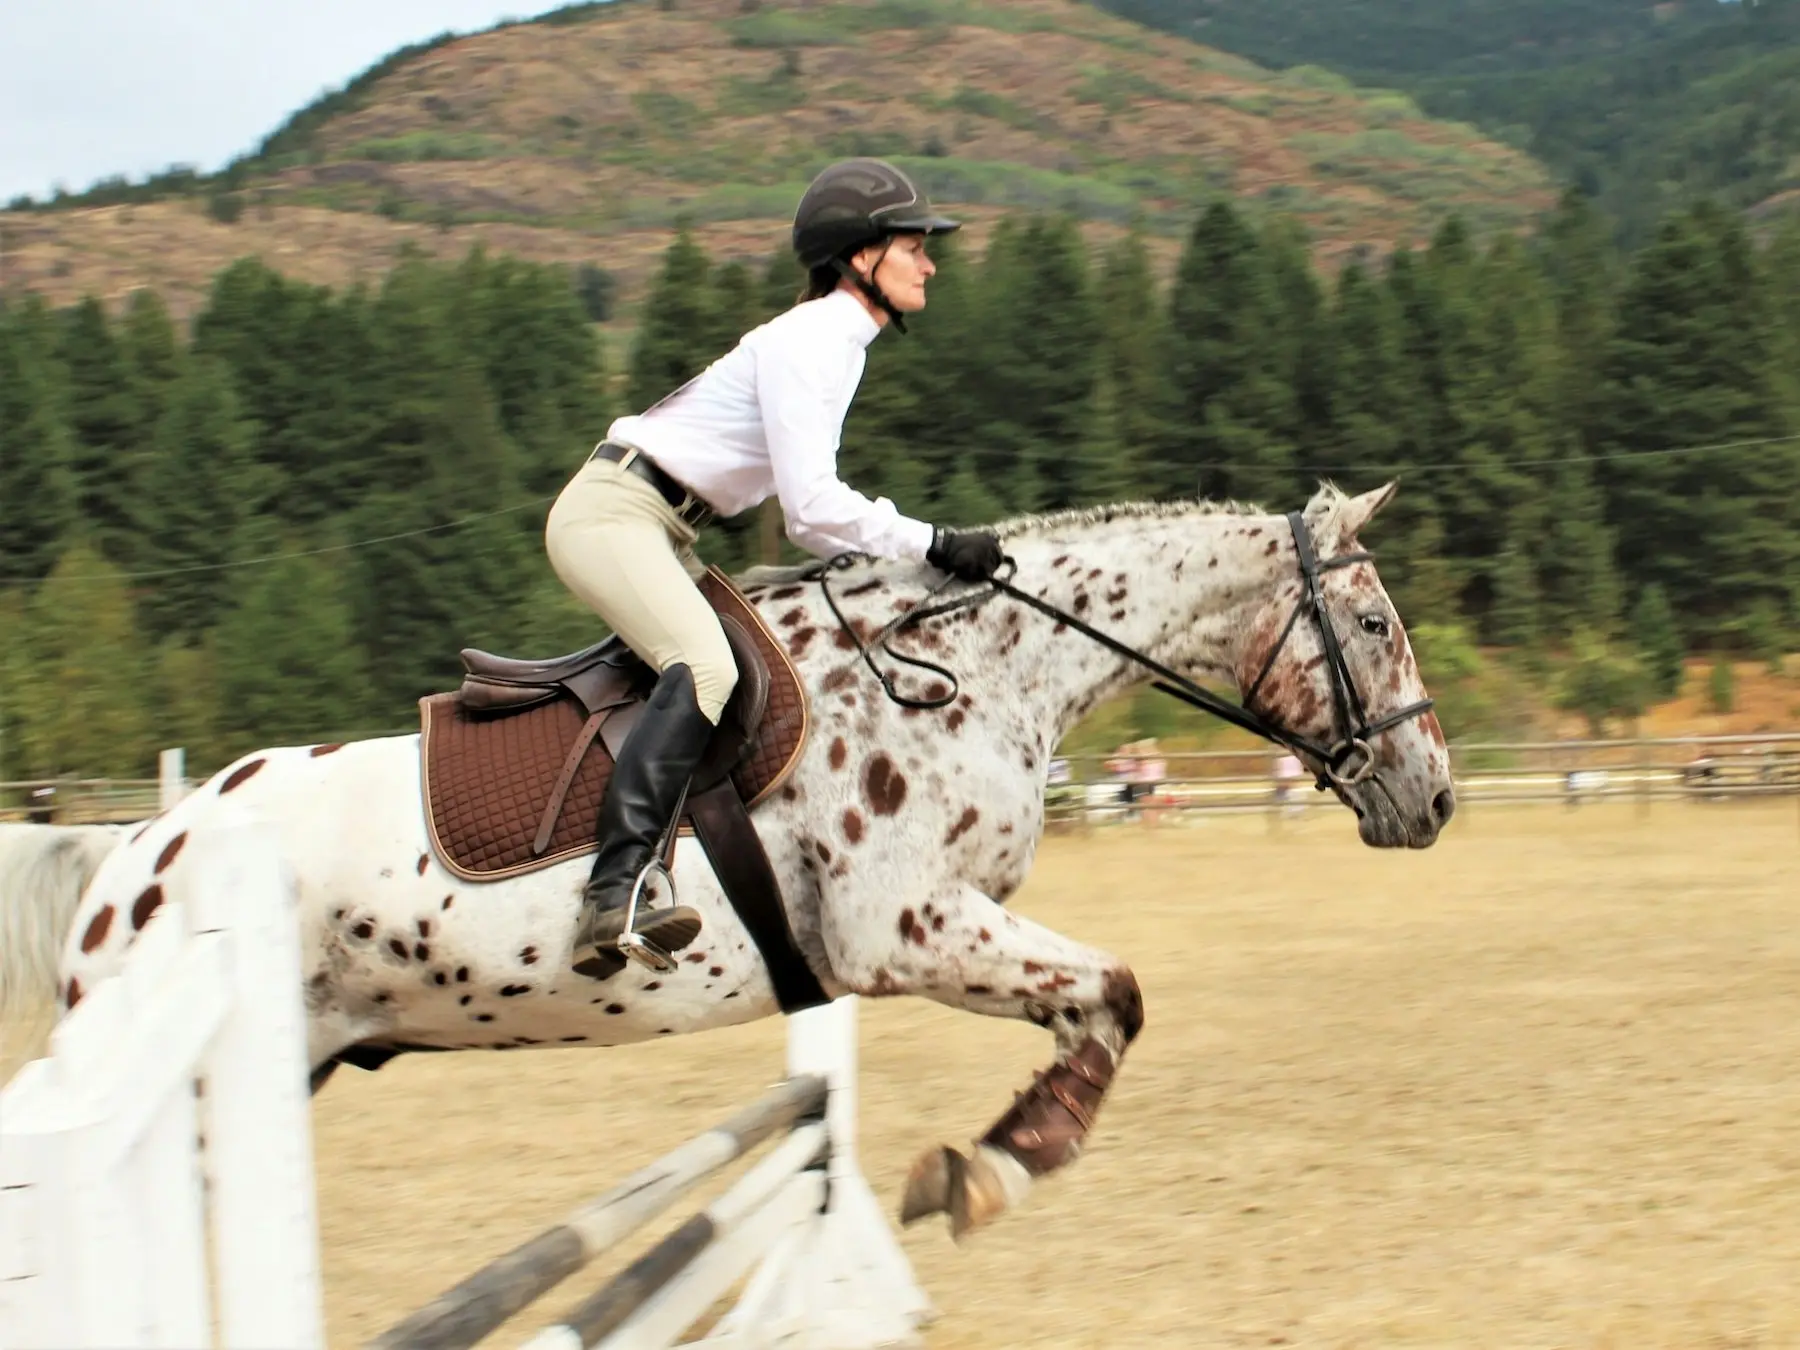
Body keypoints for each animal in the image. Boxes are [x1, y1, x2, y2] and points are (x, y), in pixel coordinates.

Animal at [35, 486, 1454, 1245]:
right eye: (1375, 623)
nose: (1433, 798)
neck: (972, 670)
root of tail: (131, 857)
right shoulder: (906, 930)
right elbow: (1117, 990)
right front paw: (992, 1168)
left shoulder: (939, 929)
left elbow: (1096, 1007)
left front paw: (990, 1160)